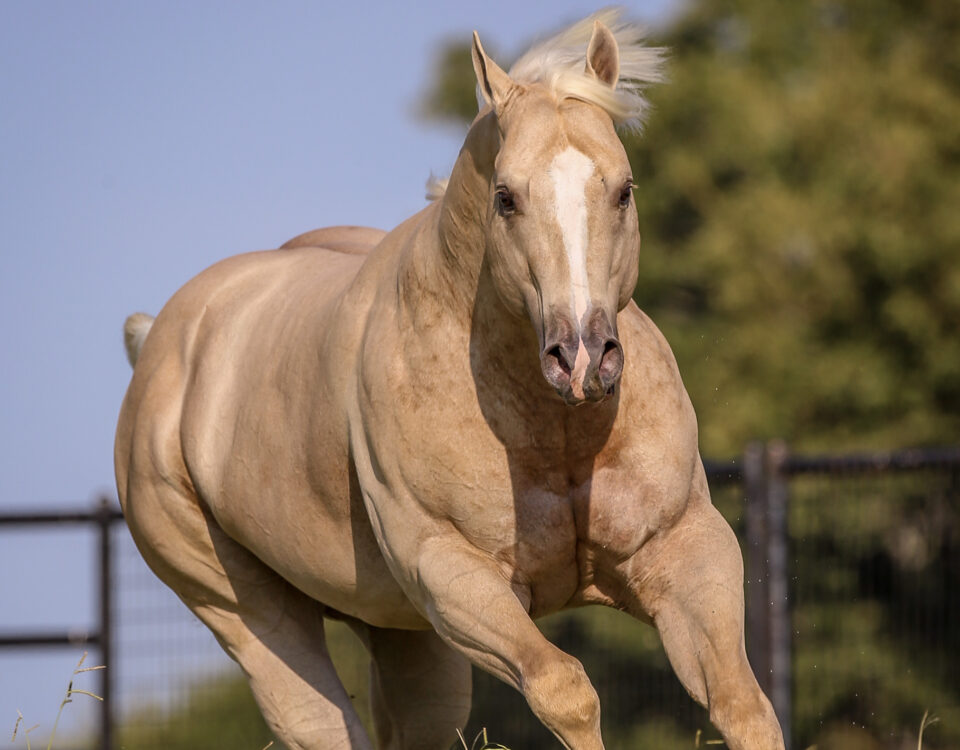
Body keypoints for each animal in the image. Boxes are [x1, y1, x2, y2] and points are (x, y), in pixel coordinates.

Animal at [115, 11, 785, 750]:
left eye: (624, 189)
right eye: (506, 197)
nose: (582, 357)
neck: (553, 430)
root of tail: (162, 340)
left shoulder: (685, 551)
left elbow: (743, 705)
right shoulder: (455, 580)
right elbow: (567, 691)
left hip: (402, 634)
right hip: (250, 615)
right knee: (311, 711)